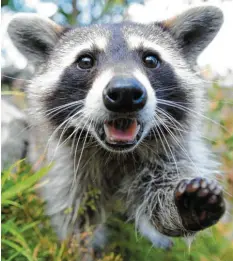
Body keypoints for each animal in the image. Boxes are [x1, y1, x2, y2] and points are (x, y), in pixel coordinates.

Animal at [7, 5, 226, 254]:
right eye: (85, 61)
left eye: (151, 59)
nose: (125, 93)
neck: (115, 154)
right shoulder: (64, 167)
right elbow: (73, 217)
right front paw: (77, 249)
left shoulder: (170, 152)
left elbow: (160, 198)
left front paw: (183, 208)